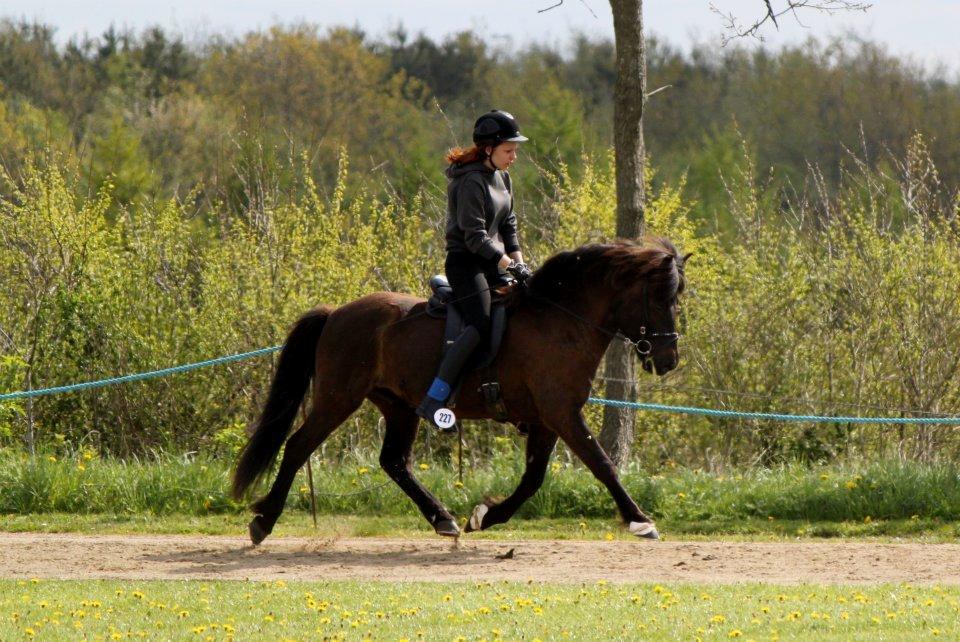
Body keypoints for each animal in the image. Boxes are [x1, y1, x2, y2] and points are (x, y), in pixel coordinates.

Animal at [230, 238, 688, 544]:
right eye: (659, 300)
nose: (668, 360)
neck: (560, 321)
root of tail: (337, 313)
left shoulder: (548, 419)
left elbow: (534, 478)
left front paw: (486, 515)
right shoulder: (561, 413)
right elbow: (602, 464)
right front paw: (640, 520)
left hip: (398, 406)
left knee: (394, 461)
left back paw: (442, 519)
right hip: (337, 398)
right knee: (297, 446)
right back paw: (264, 520)